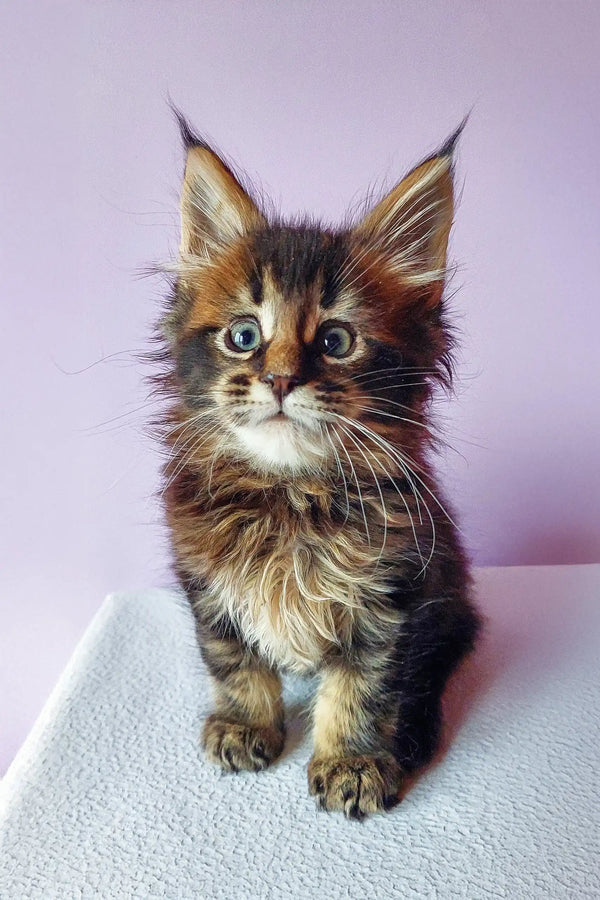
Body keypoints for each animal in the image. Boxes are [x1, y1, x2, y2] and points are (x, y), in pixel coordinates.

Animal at [157, 110, 480, 816]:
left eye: (335, 341)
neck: (291, 494)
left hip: (448, 596)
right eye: (244, 336)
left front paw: (352, 763)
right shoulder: (206, 577)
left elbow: (365, 685)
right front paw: (245, 725)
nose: (279, 380)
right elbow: (234, 659)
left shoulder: (393, 592)